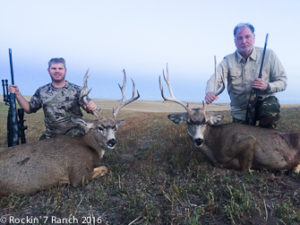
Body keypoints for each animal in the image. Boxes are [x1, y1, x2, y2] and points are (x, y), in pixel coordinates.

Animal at [0, 70, 140, 195]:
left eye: (115, 127)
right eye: (99, 127)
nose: (112, 141)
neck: (90, 147)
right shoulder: (78, 174)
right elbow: (105, 168)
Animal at [158, 66, 298, 171]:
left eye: (205, 121)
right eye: (188, 122)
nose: (198, 140)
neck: (214, 149)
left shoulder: (249, 140)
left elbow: (245, 169)